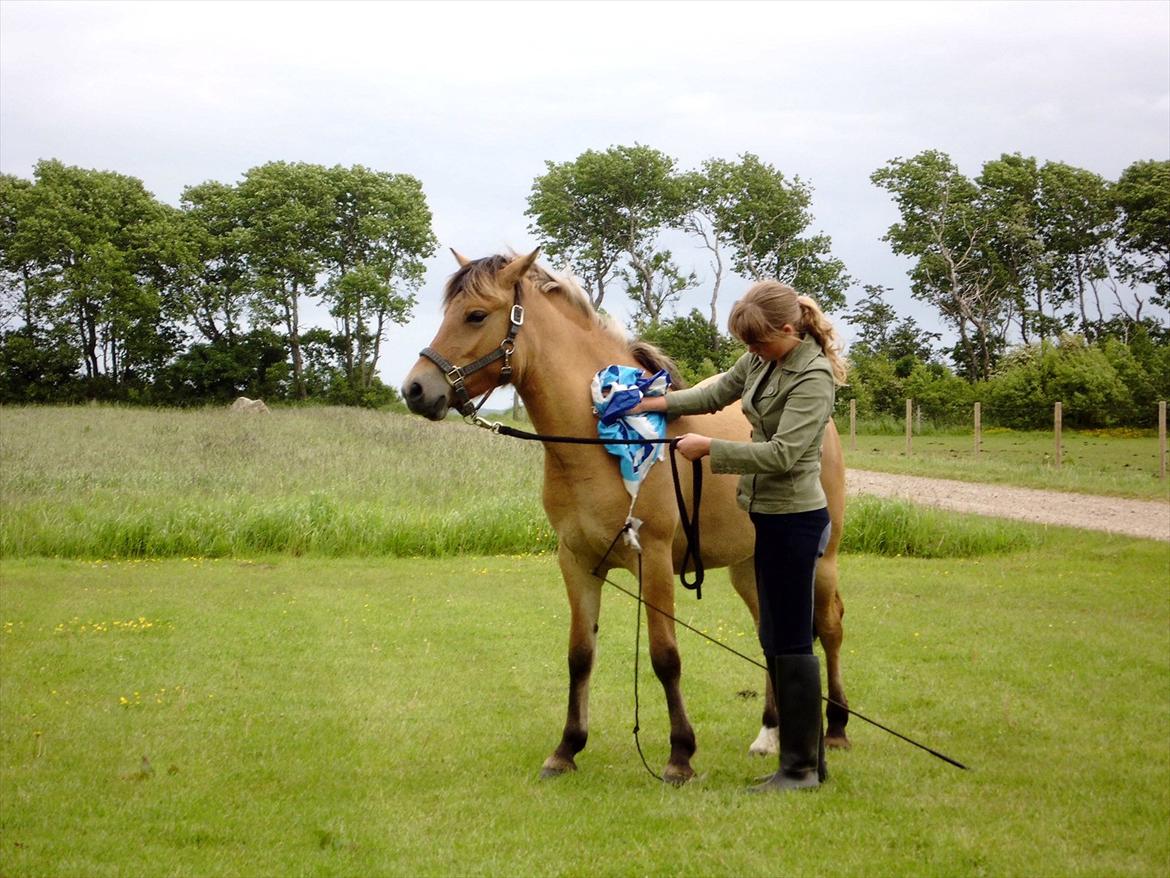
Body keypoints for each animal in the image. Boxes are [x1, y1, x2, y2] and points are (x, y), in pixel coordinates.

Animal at [402, 248, 851, 782]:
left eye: (474, 315)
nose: (415, 389)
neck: (592, 445)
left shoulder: (651, 560)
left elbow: (665, 656)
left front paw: (680, 756)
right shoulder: (576, 562)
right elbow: (580, 655)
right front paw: (566, 749)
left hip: (820, 560)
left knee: (829, 627)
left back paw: (836, 729)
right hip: (750, 566)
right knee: (772, 636)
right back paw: (769, 734)